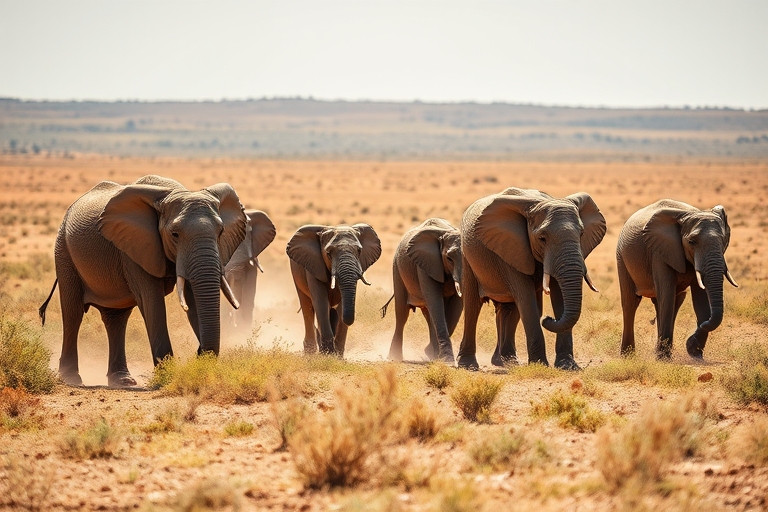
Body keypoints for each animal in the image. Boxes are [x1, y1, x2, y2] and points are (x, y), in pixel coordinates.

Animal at [38, 175, 247, 387]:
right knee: (73, 313)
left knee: (116, 319)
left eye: (221, 232)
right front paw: (166, 377)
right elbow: (152, 302)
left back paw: (123, 380)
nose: (197, 355)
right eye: (175, 234)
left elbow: (194, 299)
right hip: (63, 252)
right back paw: (71, 379)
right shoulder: (134, 249)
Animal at [287, 224, 381, 356]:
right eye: (328, 253)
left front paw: (337, 356)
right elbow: (321, 302)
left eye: (359, 251)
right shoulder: (313, 266)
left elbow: (341, 306)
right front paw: (328, 355)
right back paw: (311, 353)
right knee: (307, 307)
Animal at [382, 218, 463, 363]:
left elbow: (453, 309)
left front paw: (433, 354)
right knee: (402, 314)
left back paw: (431, 354)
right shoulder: (425, 264)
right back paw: (394, 358)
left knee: (428, 314)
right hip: (397, 269)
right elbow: (435, 302)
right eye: (449, 259)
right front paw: (446, 360)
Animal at [457, 187, 606, 370]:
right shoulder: (511, 248)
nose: (548, 318)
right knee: (472, 306)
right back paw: (468, 365)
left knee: (509, 310)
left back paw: (506, 362)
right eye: (542, 238)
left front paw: (568, 366)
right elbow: (527, 301)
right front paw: (540, 364)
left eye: (581, 234)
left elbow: (558, 297)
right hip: (467, 257)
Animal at [616, 200, 738, 359]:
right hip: (621, 257)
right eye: (691, 242)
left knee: (672, 302)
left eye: (724, 240)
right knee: (631, 303)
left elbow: (700, 298)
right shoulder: (659, 251)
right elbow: (667, 294)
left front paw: (694, 352)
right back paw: (628, 355)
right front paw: (665, 358)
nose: (691, 338)